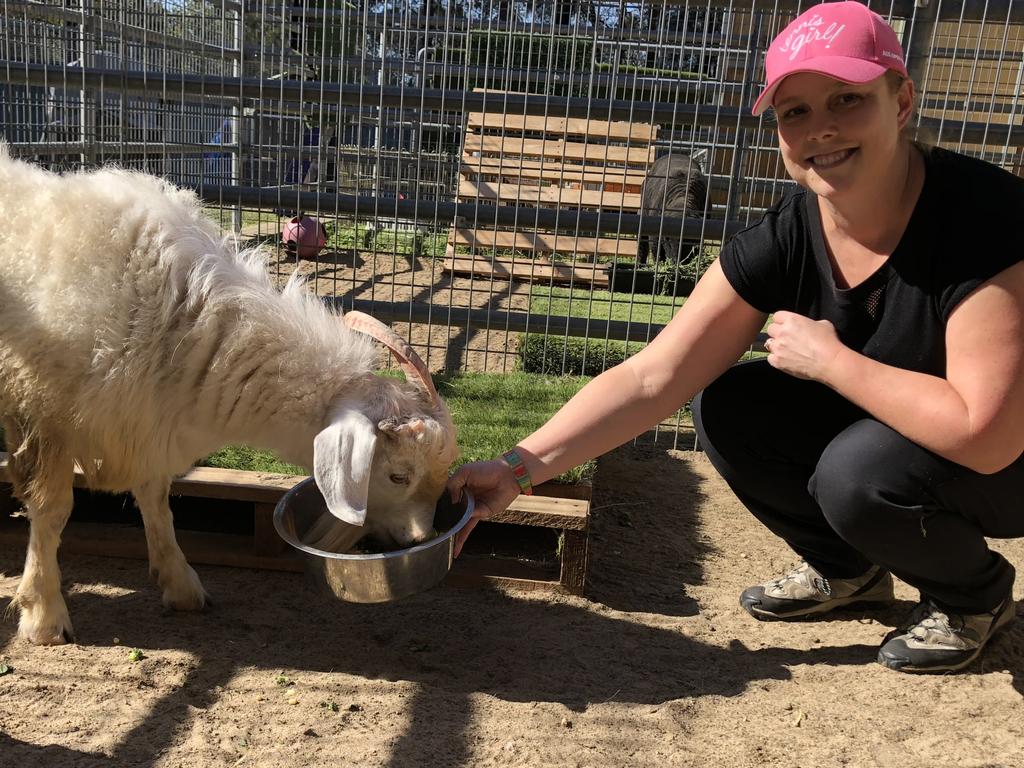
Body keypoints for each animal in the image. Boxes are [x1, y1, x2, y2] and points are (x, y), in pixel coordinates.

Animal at [0, 147, 458, 647]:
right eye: (398, 475)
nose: (420, 540)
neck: (187, 319)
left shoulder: (146, 418)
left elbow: (157, 499)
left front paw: (180, 583)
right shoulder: (42, 412)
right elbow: (52, 509)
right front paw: (44, 613)